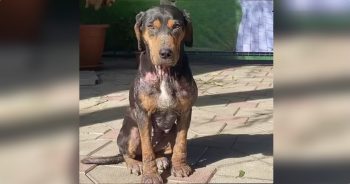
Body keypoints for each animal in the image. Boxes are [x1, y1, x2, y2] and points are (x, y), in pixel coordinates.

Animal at [81, 5, 197, 183]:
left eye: (176, 26)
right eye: (151, 26)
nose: (165, 53)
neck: (164, 73)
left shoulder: (185, 111)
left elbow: (181, 142)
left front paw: (179, 166)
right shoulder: (143, 115)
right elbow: (147, 149)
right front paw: (150, 175)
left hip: (170, 131)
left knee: (160, 150)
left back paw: (161, 159)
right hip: (131, 132)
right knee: (128, 153)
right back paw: (135, 164)